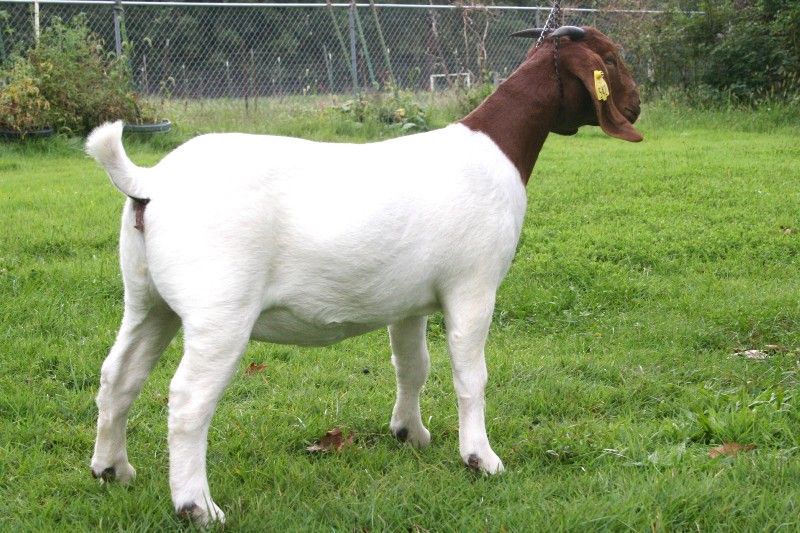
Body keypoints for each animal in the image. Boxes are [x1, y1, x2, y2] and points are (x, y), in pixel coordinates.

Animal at [86, 25, 642, 524]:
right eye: (612, 59)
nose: (637, 107)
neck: (496, 147)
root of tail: (150, 181)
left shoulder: (411, 302)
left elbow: (413, 366)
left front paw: (410, 434)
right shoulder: (473, 287)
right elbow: (470, 375)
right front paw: (481, 459)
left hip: (148, 300)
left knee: (119, 375)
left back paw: (113, 470)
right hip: (219, 310)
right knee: (187, 401)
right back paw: (197, 506)